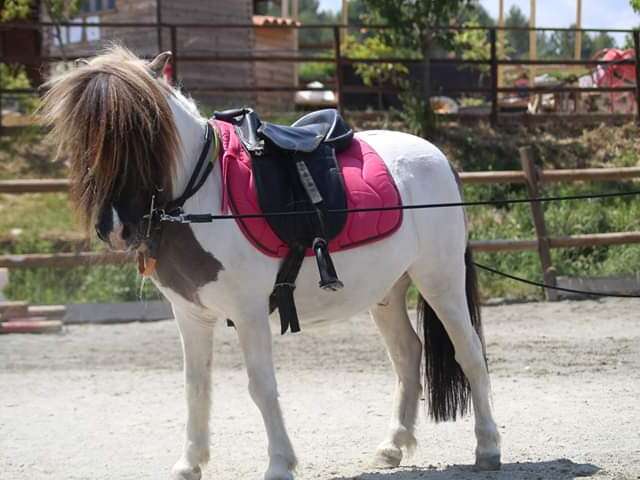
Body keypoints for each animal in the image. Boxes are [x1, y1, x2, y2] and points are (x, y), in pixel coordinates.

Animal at [40, 46, 502, 480]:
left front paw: (279, 463)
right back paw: (392, 446)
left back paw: (487, 447)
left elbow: (261, 386)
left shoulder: (249, 313)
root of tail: (437, 157)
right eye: (82, 137)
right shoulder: (190, 314)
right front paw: (190, 464)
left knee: (469, 353)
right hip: (387, 291)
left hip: (440, 280)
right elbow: (195, 387)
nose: (117, 226)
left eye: (148, 130)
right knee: (407, 354)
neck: (202, 198)